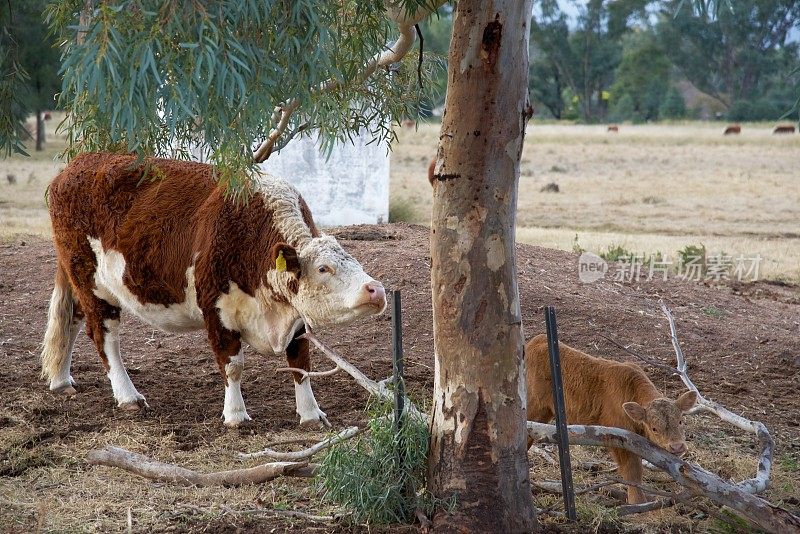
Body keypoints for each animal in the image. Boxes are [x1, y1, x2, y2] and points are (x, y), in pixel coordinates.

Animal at [43, 153, 388, 430]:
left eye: (355, 262)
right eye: (323, 269)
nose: (376, 290)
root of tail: (78, 164)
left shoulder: (295, 317)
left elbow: (300, 363)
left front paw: (311, 414)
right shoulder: (216, 309)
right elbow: (232, 365)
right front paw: (236, 415)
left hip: (79, 279)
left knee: (71, 319)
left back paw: (61, 381)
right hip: (92, 281)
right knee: (104, 336)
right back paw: (128, 397)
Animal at [520, 338, 696, 504]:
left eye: (681, 421)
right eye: (654, 428)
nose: (677, 446)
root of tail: (536, 341)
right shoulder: (619, 437)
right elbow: (632, 471)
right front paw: (638, 503)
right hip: (535, 406)